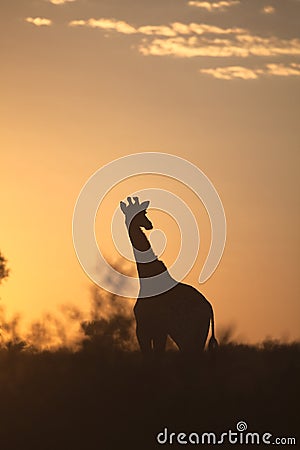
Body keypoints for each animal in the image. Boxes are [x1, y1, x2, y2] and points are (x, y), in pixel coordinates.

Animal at [119, 196, 218, 356]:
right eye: (133, 212)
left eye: (144, 212)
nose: (149, 225)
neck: (146, 279)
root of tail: (209, 307)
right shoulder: (143, 330)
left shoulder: (158, 331)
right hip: (186, 336)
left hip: (193, 334)